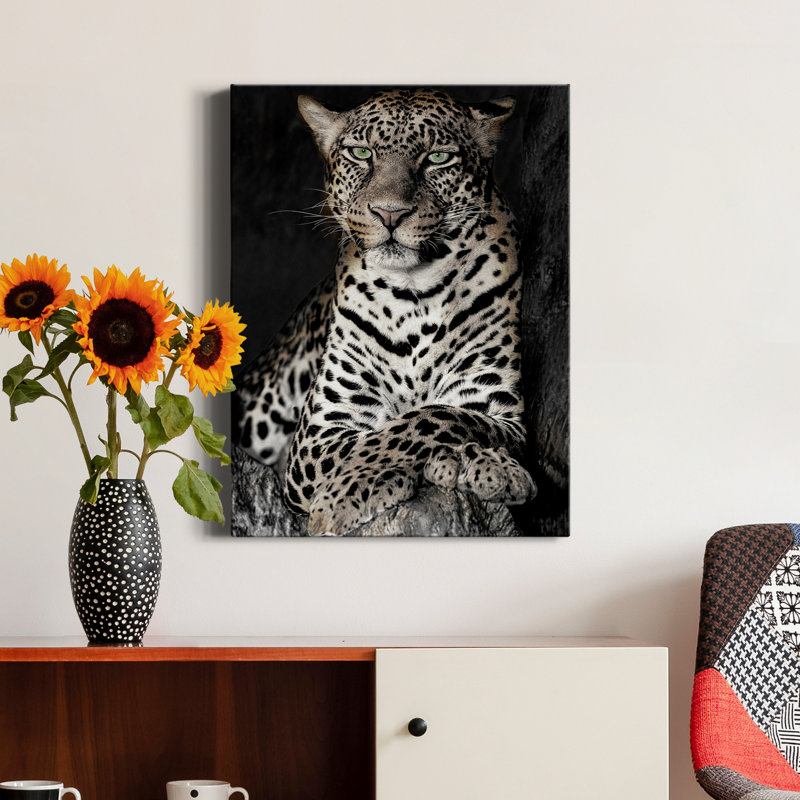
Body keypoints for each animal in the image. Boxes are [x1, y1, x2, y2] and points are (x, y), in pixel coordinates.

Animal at [234, 88, 536, 535]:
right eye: (362, 153)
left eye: (437, 158)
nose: (390, 213)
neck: (416, 293)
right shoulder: (319, 433)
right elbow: (383, 435)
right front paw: (345, 494)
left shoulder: (499, 409)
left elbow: (435, 418)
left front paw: (485, 465)